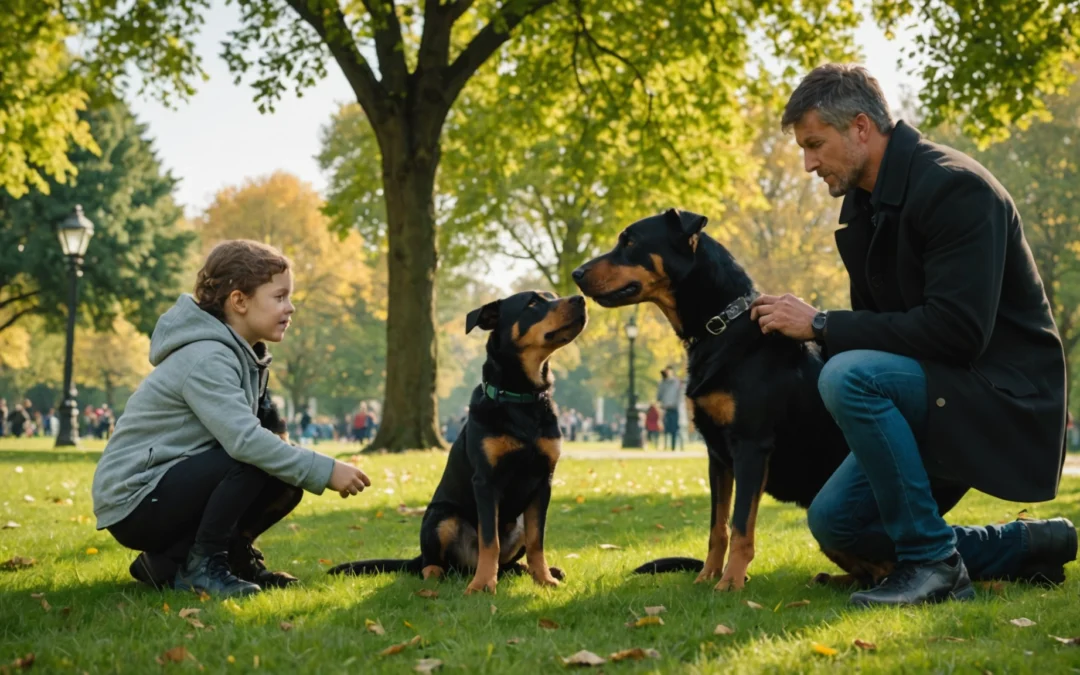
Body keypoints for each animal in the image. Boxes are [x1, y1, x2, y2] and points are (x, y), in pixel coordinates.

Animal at [328, 291, 587, 596]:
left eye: (553, 296)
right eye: (532, 303)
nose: (580, 299)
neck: (521, 400)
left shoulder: (543, 480)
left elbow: (537, 540)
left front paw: (545, 579)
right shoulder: (486, 481)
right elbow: (490, 541)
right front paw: (483, 584)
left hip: (517, 521)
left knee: (508, 563)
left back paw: (536, 570)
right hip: (440, 517)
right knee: (432, 563)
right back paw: (440, 577)